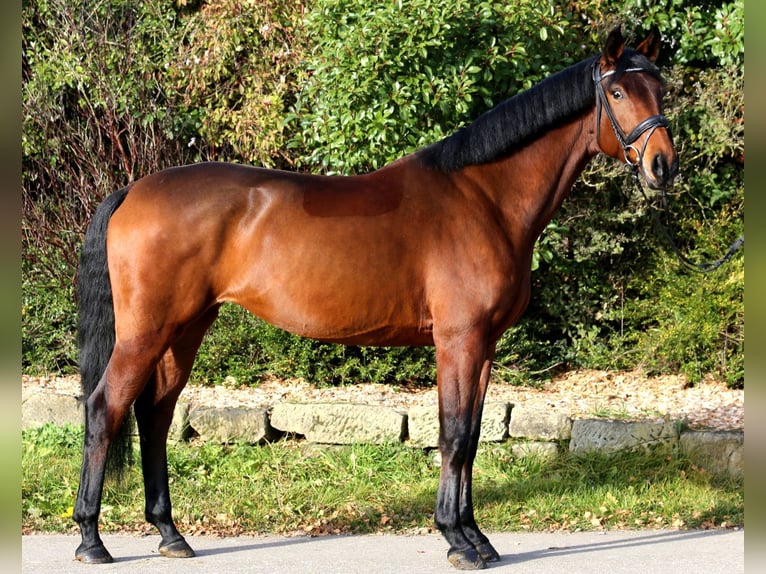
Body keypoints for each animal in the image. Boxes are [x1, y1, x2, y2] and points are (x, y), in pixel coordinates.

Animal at [73, 26, 677, 570]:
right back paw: (91, 540)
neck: (484, 198)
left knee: (155, 414)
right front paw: (457, 541)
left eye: (661, 88)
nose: (662, 165)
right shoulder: (459, 340)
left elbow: (474, 435)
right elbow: (454, 434)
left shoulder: (482, 346)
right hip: (146, 331)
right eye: (617, 93)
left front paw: (477, 538)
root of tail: (133, 190)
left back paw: (169, 534)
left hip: (187, 327)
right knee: (105, 409)